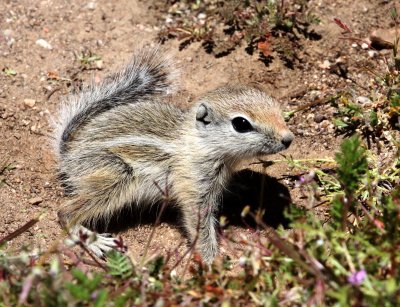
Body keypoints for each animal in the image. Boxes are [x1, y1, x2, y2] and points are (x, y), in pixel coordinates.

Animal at [53, 47, 294, 264]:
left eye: (273, 104)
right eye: (241, 124)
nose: (288, 138)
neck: (200, 143)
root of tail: (68, 153)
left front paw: (241, 186)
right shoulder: (195, 186)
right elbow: (199, 224)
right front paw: (212, 261)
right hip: (117, 174)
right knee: (65, 211)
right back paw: (93, 240)